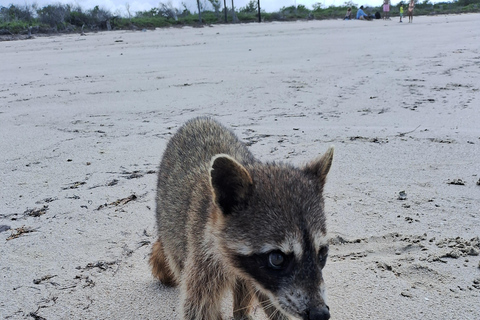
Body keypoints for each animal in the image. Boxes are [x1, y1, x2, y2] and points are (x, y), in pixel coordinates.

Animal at [151, 117, 334, 320]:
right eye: (277, 258)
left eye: (323, 252)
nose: (320, 313)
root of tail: (198, 119)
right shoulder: (202, 257)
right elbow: (197, 307)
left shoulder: (264, 283)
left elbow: (270, 300)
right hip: (172, 238)